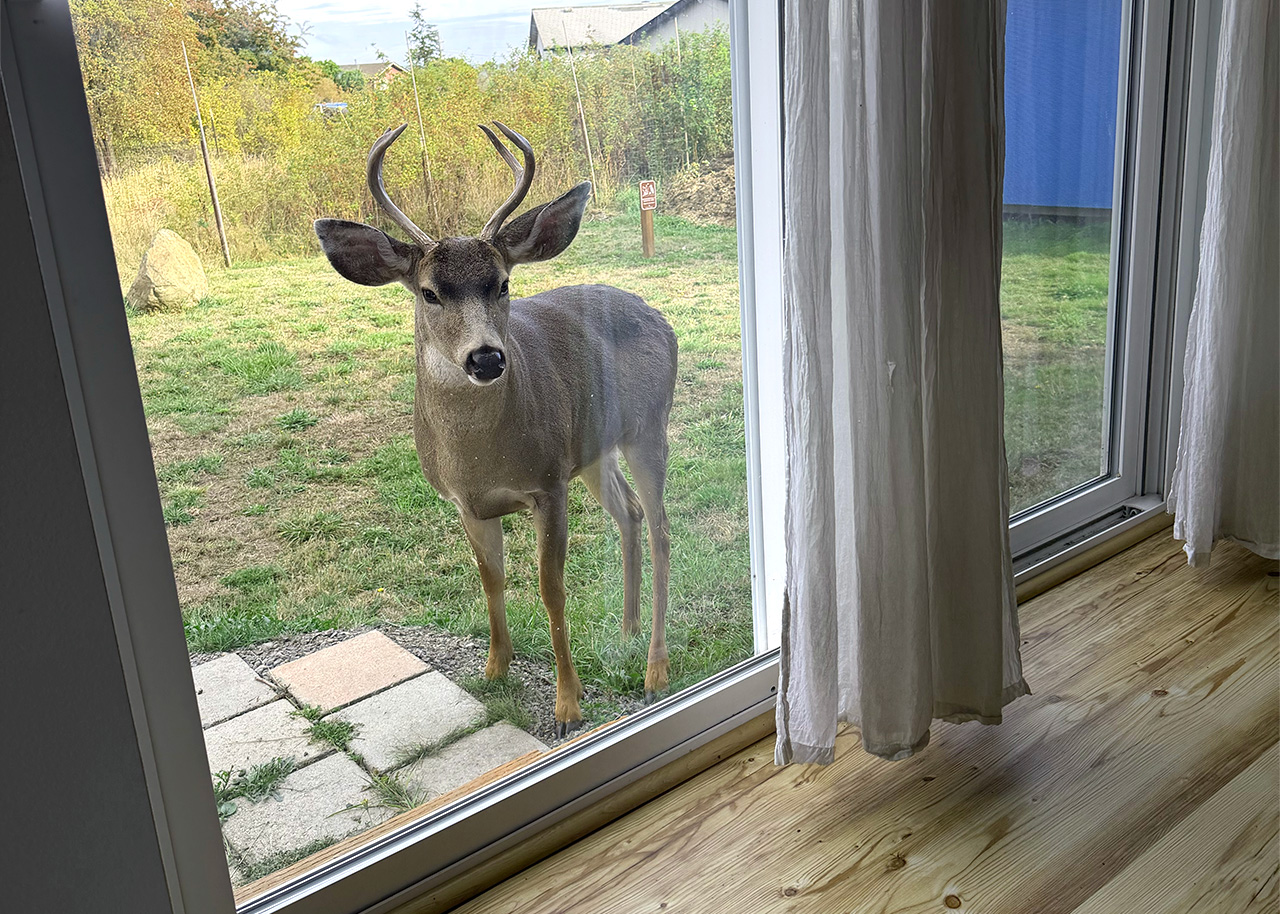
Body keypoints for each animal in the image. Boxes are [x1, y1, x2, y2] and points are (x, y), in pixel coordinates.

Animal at [314, 123, 678, 737]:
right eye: (429, 291)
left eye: (504, 283)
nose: (486, 358)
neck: (481, 457)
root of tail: (658, 314)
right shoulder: (467, 502)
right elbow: (491, 581)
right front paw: (493, 670)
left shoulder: (548, 484)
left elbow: (551, 591)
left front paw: (568, 705)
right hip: (593, 450)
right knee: (628, 512)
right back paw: (626, 633)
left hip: (649, 426)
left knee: (660, 527)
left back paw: (655, 669)